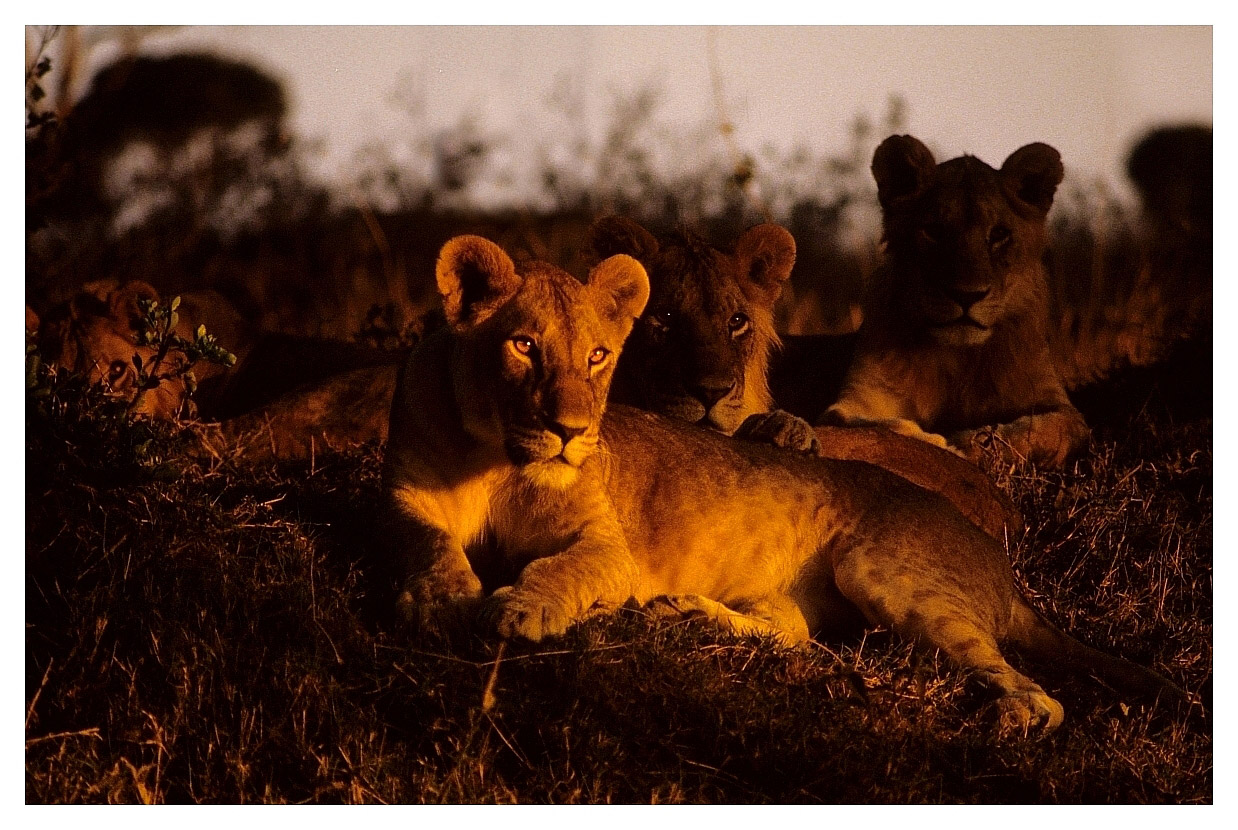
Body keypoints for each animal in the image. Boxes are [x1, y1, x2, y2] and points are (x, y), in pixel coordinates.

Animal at [822, 133, 1094, 465]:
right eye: (934, 230)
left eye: (999, 234)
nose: (967, 295)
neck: (956, 357)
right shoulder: (852, 402)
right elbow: (880, 426)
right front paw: (943, 445)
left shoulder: (1063, 409)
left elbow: (1042, 430)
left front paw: (970, 443)